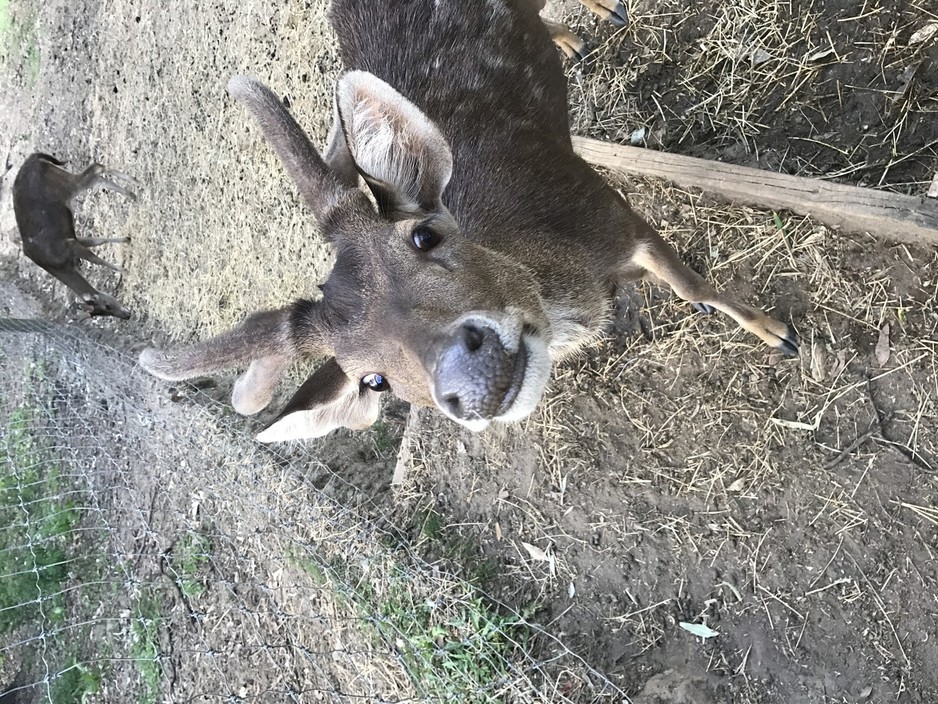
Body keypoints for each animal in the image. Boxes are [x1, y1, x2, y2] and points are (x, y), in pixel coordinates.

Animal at [12, 155, 139, 320]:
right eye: (105, 310)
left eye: (107, 306)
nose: (127, 315)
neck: (61, 264)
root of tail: (33, 159)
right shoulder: (73, 239)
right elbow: (97, 241)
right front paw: (127, 239)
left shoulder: (69, 245)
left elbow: (95, 258)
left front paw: (126, 271)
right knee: (96, 176)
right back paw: (132, 193)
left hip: (65, 185)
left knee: (94, 171)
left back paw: (136, 183)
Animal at [139, 0, 796, 440]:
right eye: (372, 380)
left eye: (423, 235)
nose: (465, 377)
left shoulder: (610, 208)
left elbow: (694, 287)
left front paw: (780, 334)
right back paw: (569, 40)